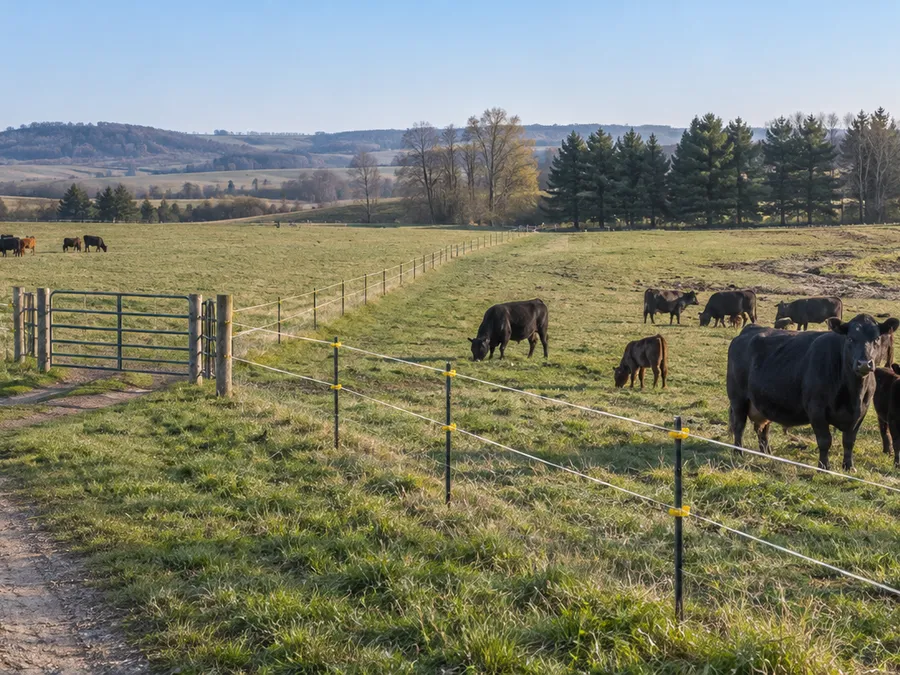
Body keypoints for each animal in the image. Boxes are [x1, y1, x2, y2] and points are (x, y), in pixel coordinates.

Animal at [726, 314, 899, 470]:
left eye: (877, 338)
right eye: (850, 338)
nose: (864, 363)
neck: (852, 393)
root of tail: (749, 329)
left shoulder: (860, 413)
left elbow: (849, 441)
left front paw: (849, 467)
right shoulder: (816, 410)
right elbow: (825, 440)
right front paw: (824, 467)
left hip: (763, 403)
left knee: (763, 429)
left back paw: (766, 454)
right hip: (738, 399)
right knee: (739, 425)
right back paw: (738, 452)